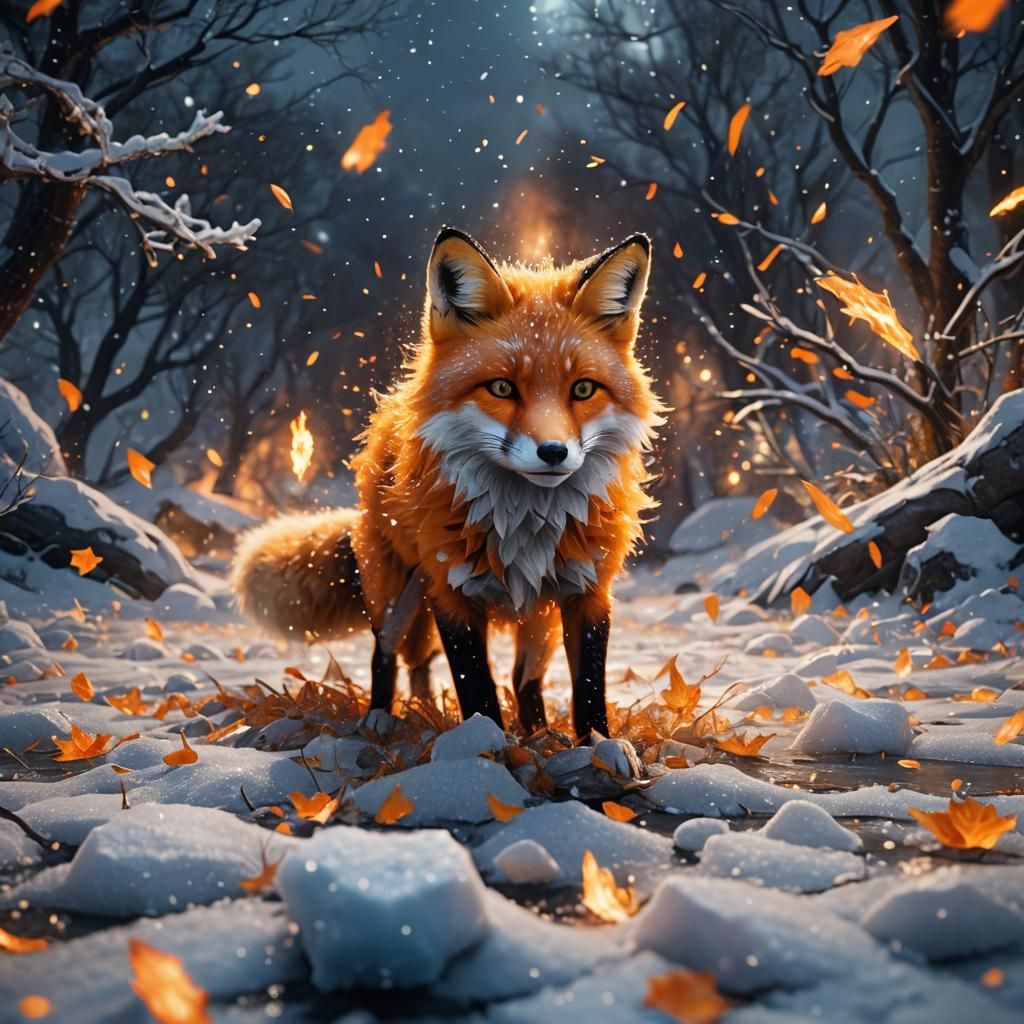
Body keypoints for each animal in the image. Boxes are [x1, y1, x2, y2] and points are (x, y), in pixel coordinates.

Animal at [232, 227, 664, 740]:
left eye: (582, 389)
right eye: (501, 388)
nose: (554, 452)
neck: (524, 523)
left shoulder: (587, 590)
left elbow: (588, 687)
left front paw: (599, 747)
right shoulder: (452, 592)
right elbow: (477, 688)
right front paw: (484, 747)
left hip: (536, 616)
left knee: (520, 679)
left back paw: (532, 731)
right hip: (396, 595)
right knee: (387, 655)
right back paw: (380, 719)